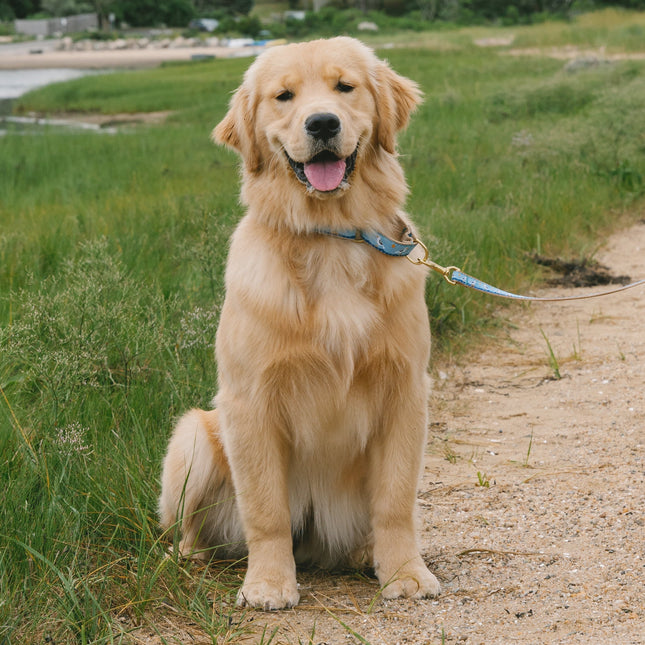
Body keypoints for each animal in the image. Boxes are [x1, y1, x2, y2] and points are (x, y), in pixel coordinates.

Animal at [158, 35, 440, 608]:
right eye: (283, 96)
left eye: (345, 87)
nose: (323, 124)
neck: (330, 239)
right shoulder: (249, 401)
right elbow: (267, 510)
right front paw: (268, 583)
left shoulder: (405, 389)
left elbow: (396, 500)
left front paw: (405, 573)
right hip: (192, 438)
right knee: (189, 528)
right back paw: (189, 558)